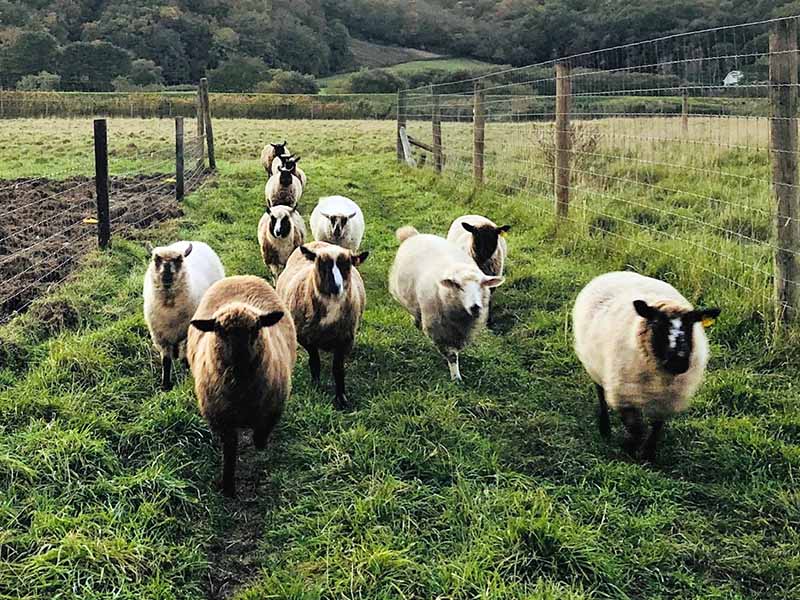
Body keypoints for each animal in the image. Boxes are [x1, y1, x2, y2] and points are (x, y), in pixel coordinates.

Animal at [142, 241, 225, 392]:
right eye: (156, 259)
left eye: (179, 260)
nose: (167, 277)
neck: (170, 308)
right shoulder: (161, 338)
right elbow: (166, 361)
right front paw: (166, 385)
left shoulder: (187, 333)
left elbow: (186, 355)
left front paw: (186, 371)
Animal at [188, 276, 296, 496]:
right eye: (220, 331)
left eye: (255, 328)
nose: (241, 360)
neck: (241, 391)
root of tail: (239, 277)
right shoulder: (223, 421)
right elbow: (230, 452)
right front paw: (228, 486)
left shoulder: (272, 410)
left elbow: (261, 435)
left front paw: (260, 447)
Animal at [276, 241, 368, 410]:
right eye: (322, 265)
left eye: (347, 265)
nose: (335, 287)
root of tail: (317, 242)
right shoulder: (304, 337)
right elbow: (314, 360)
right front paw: (316, 385)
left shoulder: (345, 340)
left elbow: (338, 369)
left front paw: (341, 398)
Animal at [390, 227, 506, 382]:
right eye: (458, 286)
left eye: (482, 285)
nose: (475, 307)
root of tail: (414, 235)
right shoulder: (438, 329)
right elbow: (451, 355)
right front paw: (456, 378)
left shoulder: (461, 332)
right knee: (416, 315)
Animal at [572, 272, 720, 460]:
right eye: (657, 324)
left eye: (690, 326)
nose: (678, 362)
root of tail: (616, 272)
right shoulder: (624, 394)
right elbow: (636, 428)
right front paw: (630, 447)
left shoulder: (666, 400)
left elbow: (656, 427)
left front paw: (648, 453)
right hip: (594, 365)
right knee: (600, 393)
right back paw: (604, 428)